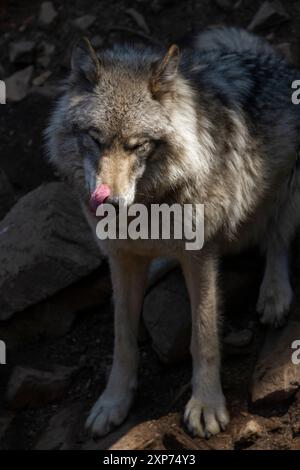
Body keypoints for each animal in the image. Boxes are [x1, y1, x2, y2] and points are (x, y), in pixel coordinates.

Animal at [45, 28, 300, 440]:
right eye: (95, 139)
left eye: (138, 145)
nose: (109, 202)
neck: (149, 206)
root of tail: (275, 60)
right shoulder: (121, 256)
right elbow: (123, 339)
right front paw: (113, 402)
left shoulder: (201, 256)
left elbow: (204, 337)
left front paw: (207, 405)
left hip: (291, 188)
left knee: (277, 241)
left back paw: (274, 294)